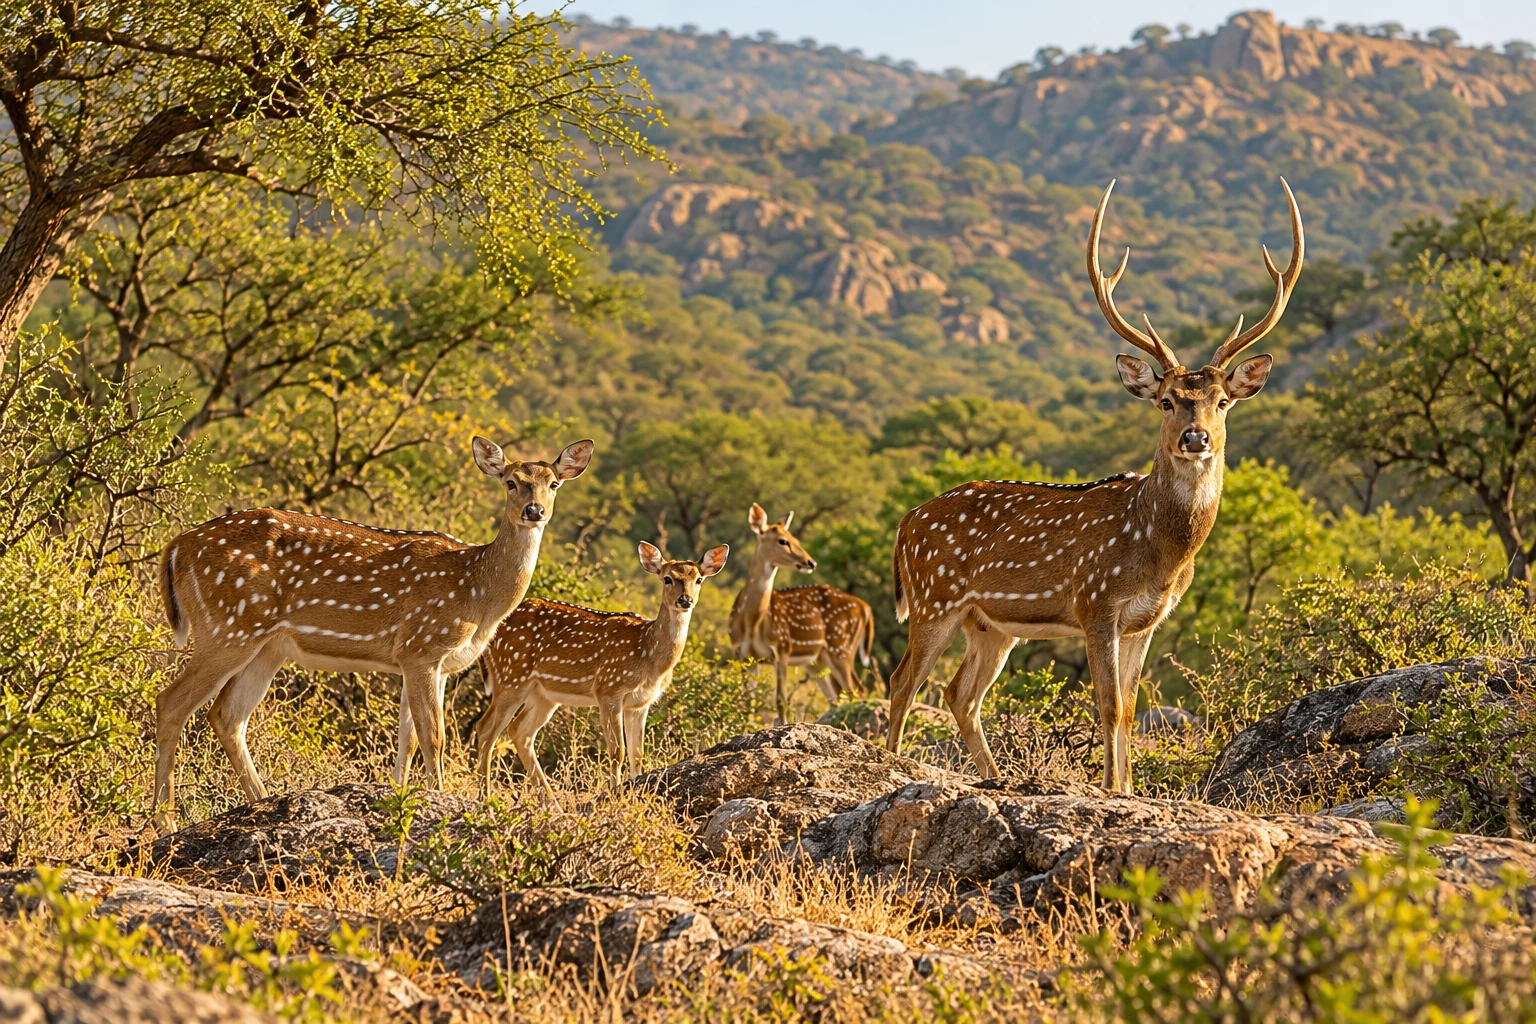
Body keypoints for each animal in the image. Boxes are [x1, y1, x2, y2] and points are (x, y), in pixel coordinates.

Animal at [151, 437, 594, 831]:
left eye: (554, 483)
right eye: (511, 481)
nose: (534, 510)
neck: (476, 592)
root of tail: (175, 547)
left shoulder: (431, 663)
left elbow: (409, 739)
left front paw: (398, 800)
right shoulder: (422, 647)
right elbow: (435, 737)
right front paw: (441, 801)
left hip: (266, 647)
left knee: (227, 715)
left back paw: (263, 801)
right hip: (227, 627)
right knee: (172, 702)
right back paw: (164, 821)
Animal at [473, 541, 730, 798]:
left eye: (698, 579)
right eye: (667, 578)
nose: (685, 600)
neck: (648, 656)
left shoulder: (640, 703)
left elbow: (638, 755)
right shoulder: (609, 689)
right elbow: (617, 752)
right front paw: (616, 793)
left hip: (543, 694)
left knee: (520, 732)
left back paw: (551, 800)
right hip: (512, 676)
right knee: (486, 730)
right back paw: (486, 796)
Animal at [729, 503, 879, 724]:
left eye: (796, 539)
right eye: (783, 541)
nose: (810, 562)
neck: (752, 623)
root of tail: (866, 608)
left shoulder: (781, 648)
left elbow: (781, 699)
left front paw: (781, 725)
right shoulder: (743, 654)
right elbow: (748, 701)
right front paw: (746, 729)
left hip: (841, 648)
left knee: (856, 690)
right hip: (818, 661)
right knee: (837, 695)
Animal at [886, 178, 1303, 795]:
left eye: (1223, 400)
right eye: (1167, 400)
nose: (1196, 437)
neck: (1161, 552)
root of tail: (905, 522)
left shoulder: (1147, 621)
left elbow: (1129, 708)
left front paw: (1128, 789)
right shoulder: (1096, 603)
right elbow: (1107, 705)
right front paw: (1110, 789)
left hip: (989, 624)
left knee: (959, 693)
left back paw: (996, 778)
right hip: (933, 598)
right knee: (903, 682)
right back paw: (889, 765)